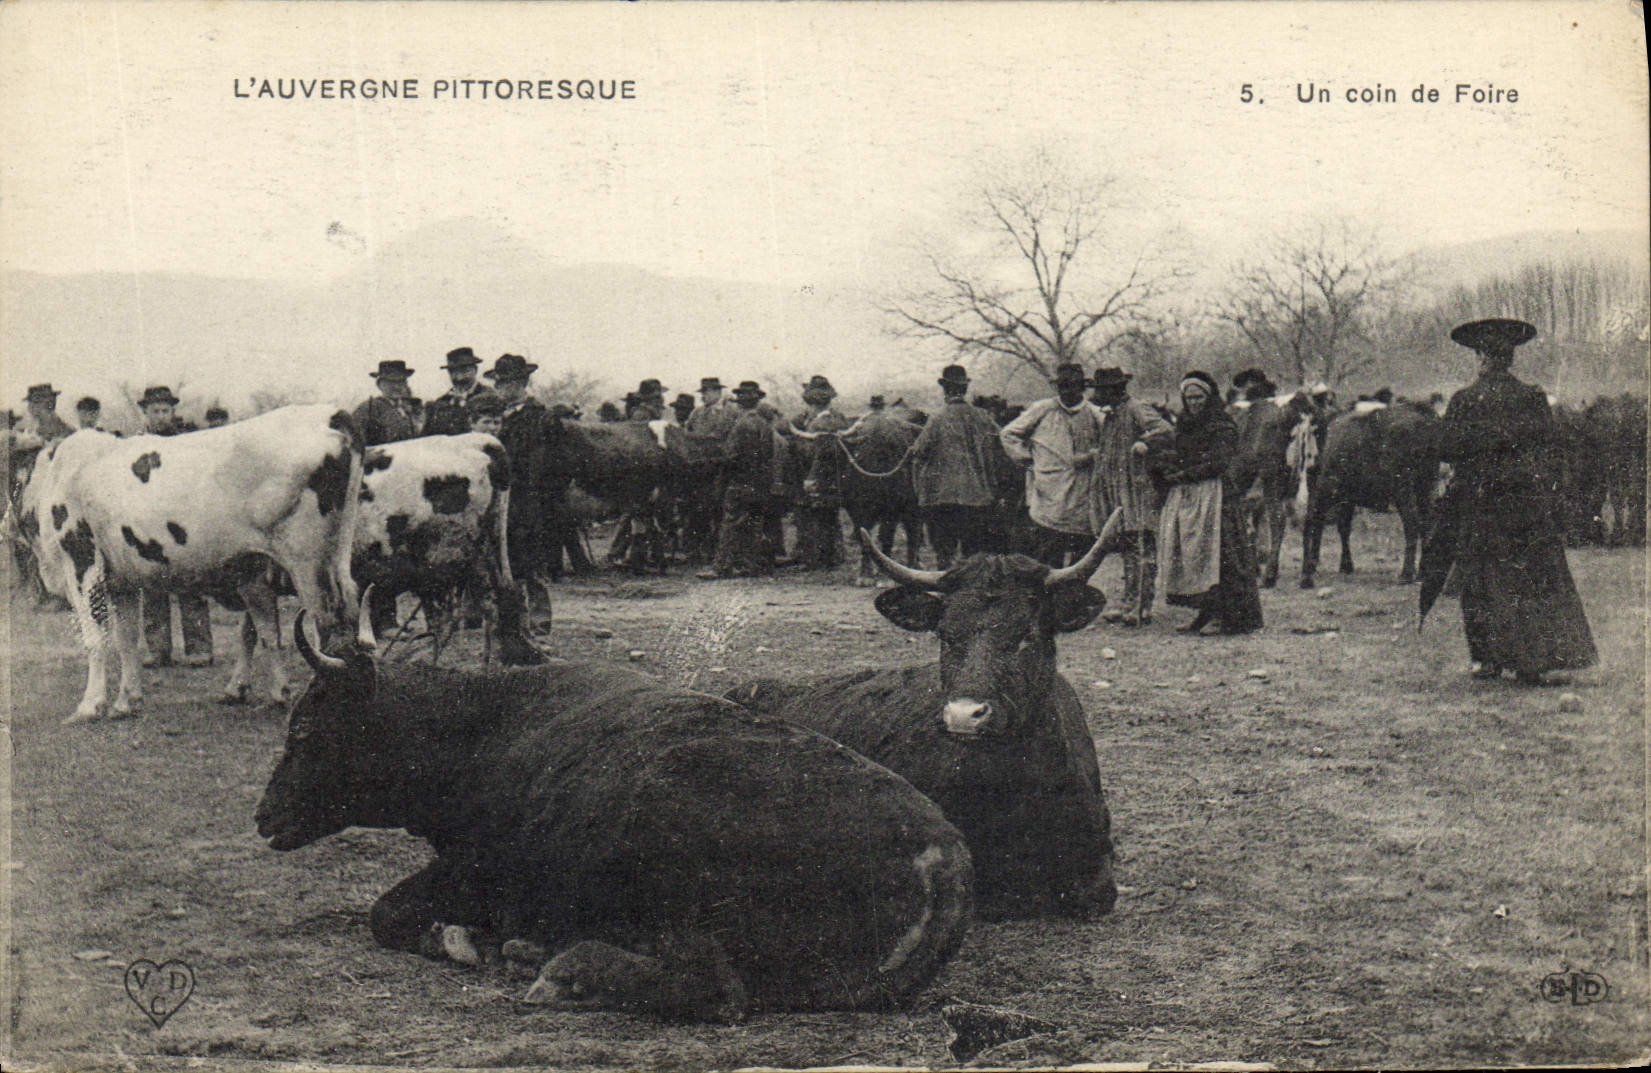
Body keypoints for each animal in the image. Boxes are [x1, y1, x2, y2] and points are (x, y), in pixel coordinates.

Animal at [22, 405, 363, 723]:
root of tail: (331, 415)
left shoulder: (80, 558)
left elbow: (95, 636)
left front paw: (90, 706)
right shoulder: (121, 578)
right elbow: (127, 639)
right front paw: (127, 701)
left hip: (307, 562)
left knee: (326, 624)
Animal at [255, 608, 974, 1021]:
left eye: (306, 729)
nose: (264, 816)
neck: (481, 725)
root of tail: (940, 854)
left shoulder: (469, 871)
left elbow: (389, 913)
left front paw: (459, 940)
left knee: (715, 991)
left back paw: (559, 970)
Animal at [1300, 399, 1442, 589]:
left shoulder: (1325, 490)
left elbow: (1314, 523)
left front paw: (1311, 568)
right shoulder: (1346, 498)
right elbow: (1343, 527)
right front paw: (1345, 565)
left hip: (1403, 489)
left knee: (1412, 525)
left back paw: (1406, 574)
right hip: (1426, 486)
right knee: (1428, 524)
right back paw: (1422, 573)